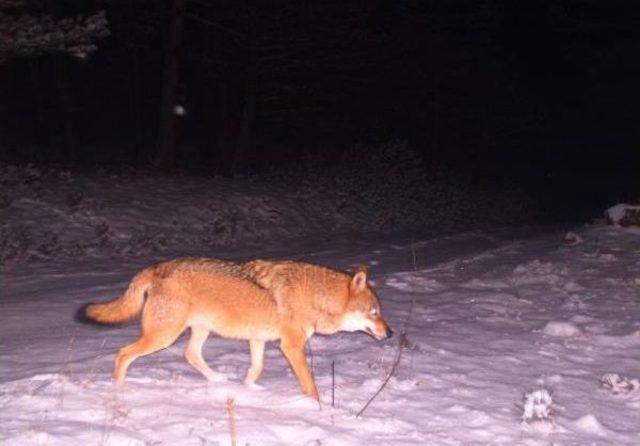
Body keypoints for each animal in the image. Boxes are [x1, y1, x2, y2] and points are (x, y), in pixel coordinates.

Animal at [80, 258, 390, 400]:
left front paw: (249, 389)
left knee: (190, 355)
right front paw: (317, 407)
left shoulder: (258, 340)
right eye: (375, 312)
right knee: (123, 353)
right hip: (163, 337)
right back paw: (119, 391)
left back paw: (218, 380)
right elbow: (309, 385)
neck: (316, 296)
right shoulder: (291, 346)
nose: (390, 333)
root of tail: (158, 267)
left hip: (198, 331)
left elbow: (256, 368)